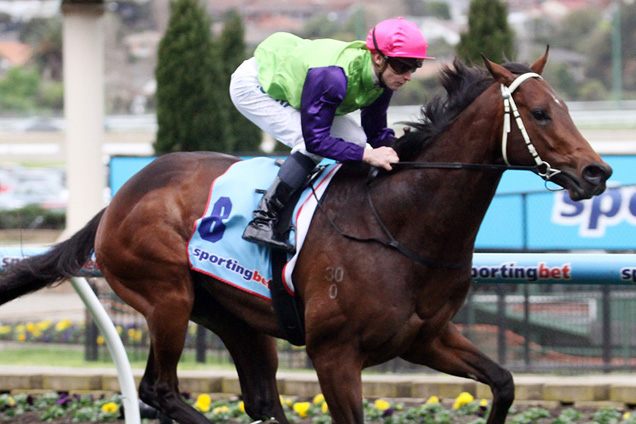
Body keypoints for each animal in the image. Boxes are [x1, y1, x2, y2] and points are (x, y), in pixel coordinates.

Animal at [0, 50, 612, 424]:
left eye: (565, 107)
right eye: (540, 112)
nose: (597, 172)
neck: (398, 221)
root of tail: (120, 197)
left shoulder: (425, 337)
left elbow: (504, 382)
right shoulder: (334, 354)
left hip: (236, 318)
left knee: (255, 396)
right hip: (166, 297)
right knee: (160, 389)